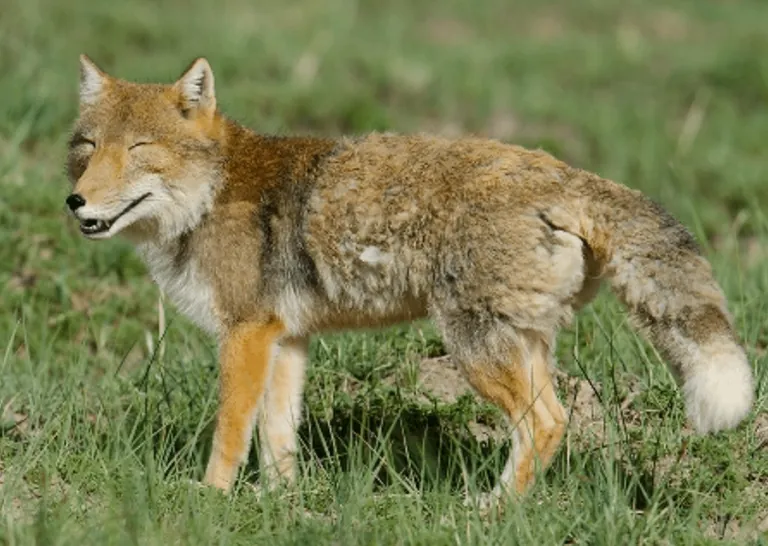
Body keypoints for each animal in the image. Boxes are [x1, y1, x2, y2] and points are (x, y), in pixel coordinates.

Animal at [65, 55, 754, 504]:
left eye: (139, 151)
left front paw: (210, 500)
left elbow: (231, 431)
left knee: (547, 423)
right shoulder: (285, 339)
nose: (75, 202)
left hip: (474, 349)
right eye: (88, 148)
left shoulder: (245, 333)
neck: (211, 195)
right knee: (548, 423)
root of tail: (565, 173)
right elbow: (278, 438)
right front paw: (281, 506)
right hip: (518, 345)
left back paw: (489, 513)